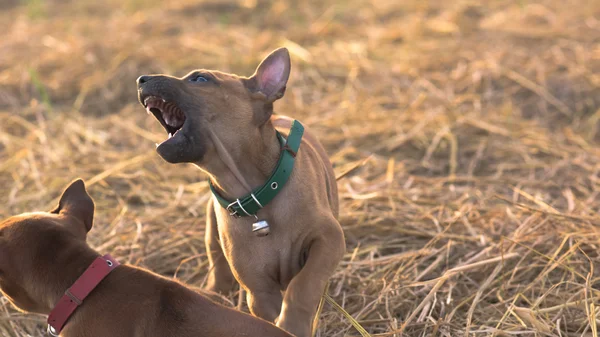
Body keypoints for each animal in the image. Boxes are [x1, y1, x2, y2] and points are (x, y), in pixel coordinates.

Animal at [135, 48, 342, 336]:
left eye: (200, 79)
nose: (141, 79)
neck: (256, 195)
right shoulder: (258, 289)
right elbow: (266, 312)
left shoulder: (328, 237)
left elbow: (304, 284)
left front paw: (293, 323)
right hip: (212, 228)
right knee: (216, 261)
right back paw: (213, 293)